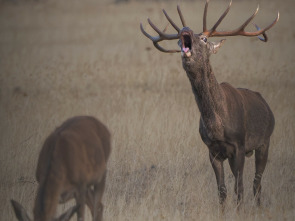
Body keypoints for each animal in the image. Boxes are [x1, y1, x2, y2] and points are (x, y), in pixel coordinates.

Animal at [142, 0, 278, 207]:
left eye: (205, 39)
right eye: (178, 42)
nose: (186, 29)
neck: (217, 125)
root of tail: (266, 106)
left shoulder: (239, 145)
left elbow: (239, 189)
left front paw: (239, 211)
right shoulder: (212, 150)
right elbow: (222, 190)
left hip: (265, 141)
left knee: (257, 183)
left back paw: (258, 207)